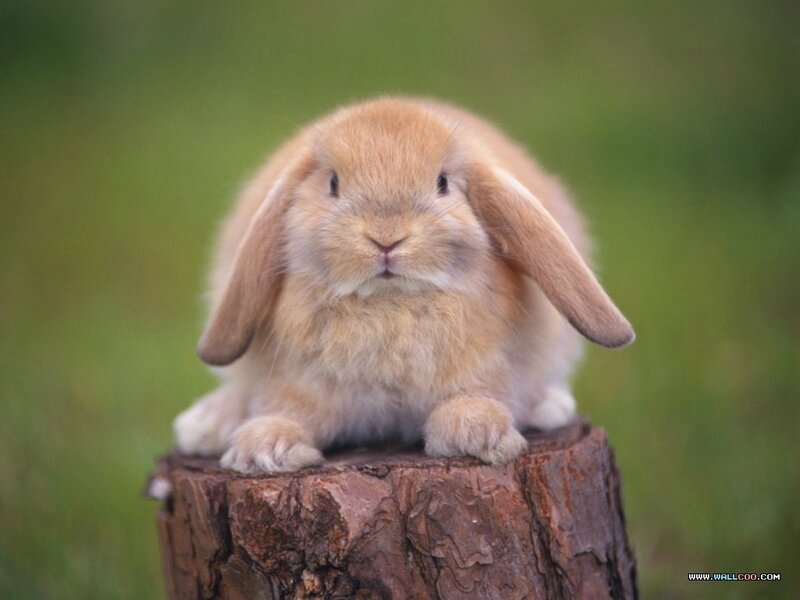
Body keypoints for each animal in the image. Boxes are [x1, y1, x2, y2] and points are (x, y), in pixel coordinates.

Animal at [173, 97, 634, 474]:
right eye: (333, 183)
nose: (386, 237)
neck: (389, 303)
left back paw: (548, 406)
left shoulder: (486, 369)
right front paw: (263, 449)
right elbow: (287, 410)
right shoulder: (299, 382)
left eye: (443, 183)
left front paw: (478, 434)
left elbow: (474, 397)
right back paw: (207, 425)